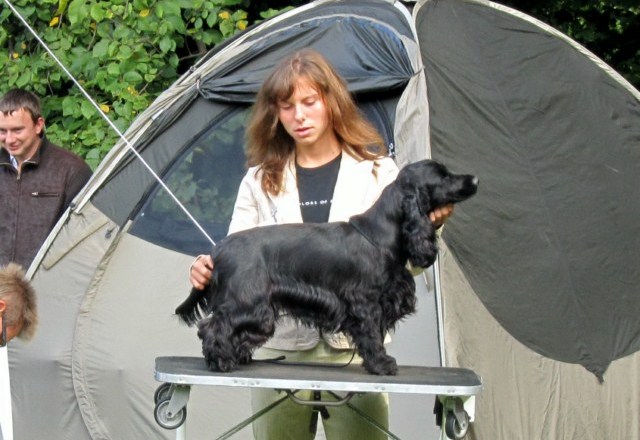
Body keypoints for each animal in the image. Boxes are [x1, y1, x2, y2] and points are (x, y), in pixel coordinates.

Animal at [176, 159, 478, 375]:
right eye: (443, 176)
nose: (474, 179)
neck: (381, 233)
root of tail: (218, 249)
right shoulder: (366, 301)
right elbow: (372, 334)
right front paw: (382, 364)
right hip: (248, 304)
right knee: (212, 327)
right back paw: (220, 362)